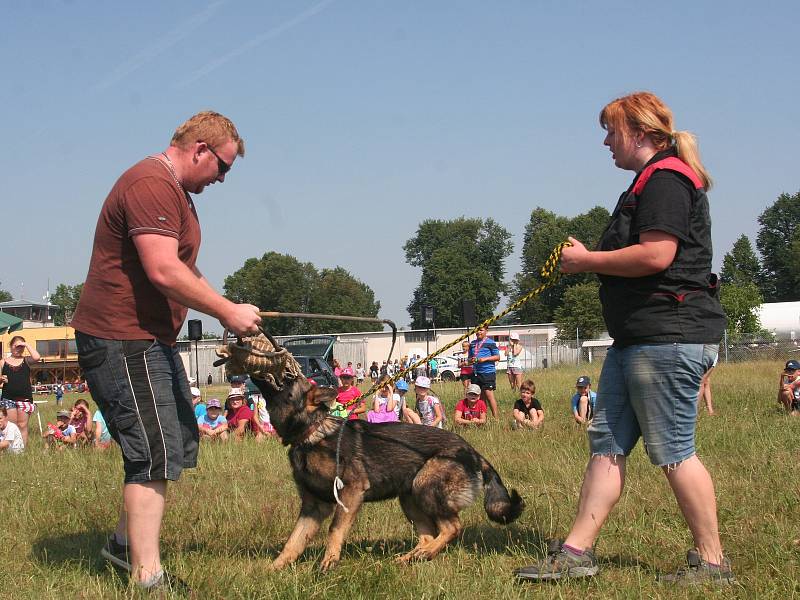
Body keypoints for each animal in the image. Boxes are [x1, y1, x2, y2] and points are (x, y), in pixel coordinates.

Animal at [250, 376, 524, 572]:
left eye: (287, 381)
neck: (311, 434)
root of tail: (472, 451)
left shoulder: (350, 493)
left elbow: (334, 530)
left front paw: (329, 563)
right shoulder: (313, 506)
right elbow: (293, 541)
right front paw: (273, 569)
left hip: (424, 485)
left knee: (452, 527)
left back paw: (424, 554)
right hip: (409, 498)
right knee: (428, 535)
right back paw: (412, 557)